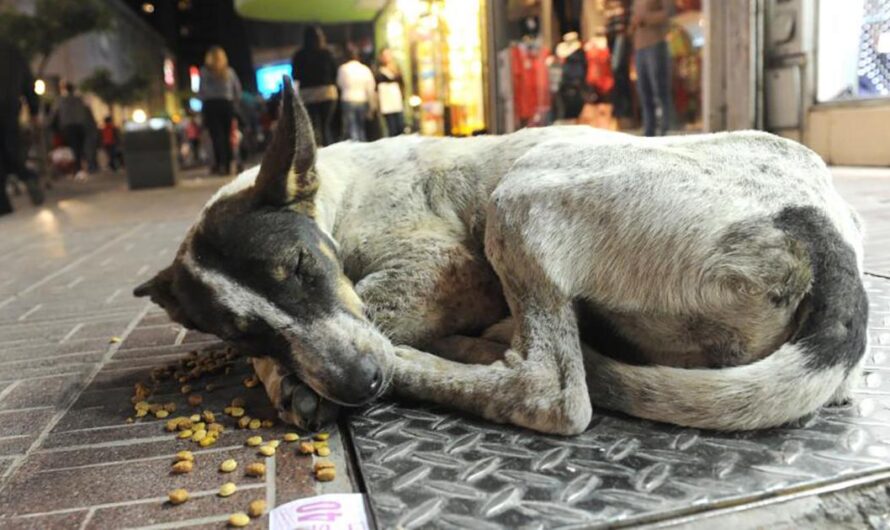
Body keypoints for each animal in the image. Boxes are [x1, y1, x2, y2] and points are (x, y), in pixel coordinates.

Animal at [134, 79, 868, 434]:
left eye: (300, 267)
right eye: (242, 329)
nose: (360, 384)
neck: (339, 196)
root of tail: (826, 243)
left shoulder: (449, 269)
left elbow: (368, 312)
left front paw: (293, 380)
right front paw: (281, 371)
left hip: (520, 199)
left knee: (551, 392)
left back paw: (444, 357)